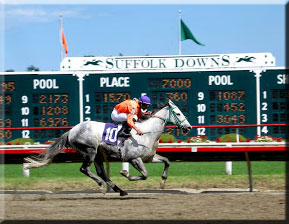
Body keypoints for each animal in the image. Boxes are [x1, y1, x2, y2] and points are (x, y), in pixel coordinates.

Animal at [24, 100, 191, 196]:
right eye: (177, 113)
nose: (188, 127)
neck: (147, 133)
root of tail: (72, 131)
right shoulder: (134, 158)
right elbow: (144, 175)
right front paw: (126, 174)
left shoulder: (149, 157)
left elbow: (167, 161)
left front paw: (163, 182)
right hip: (90, 151)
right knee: (85, 169)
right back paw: (102, 186)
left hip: (98, 154)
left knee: (101, 173)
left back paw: (119, 190)